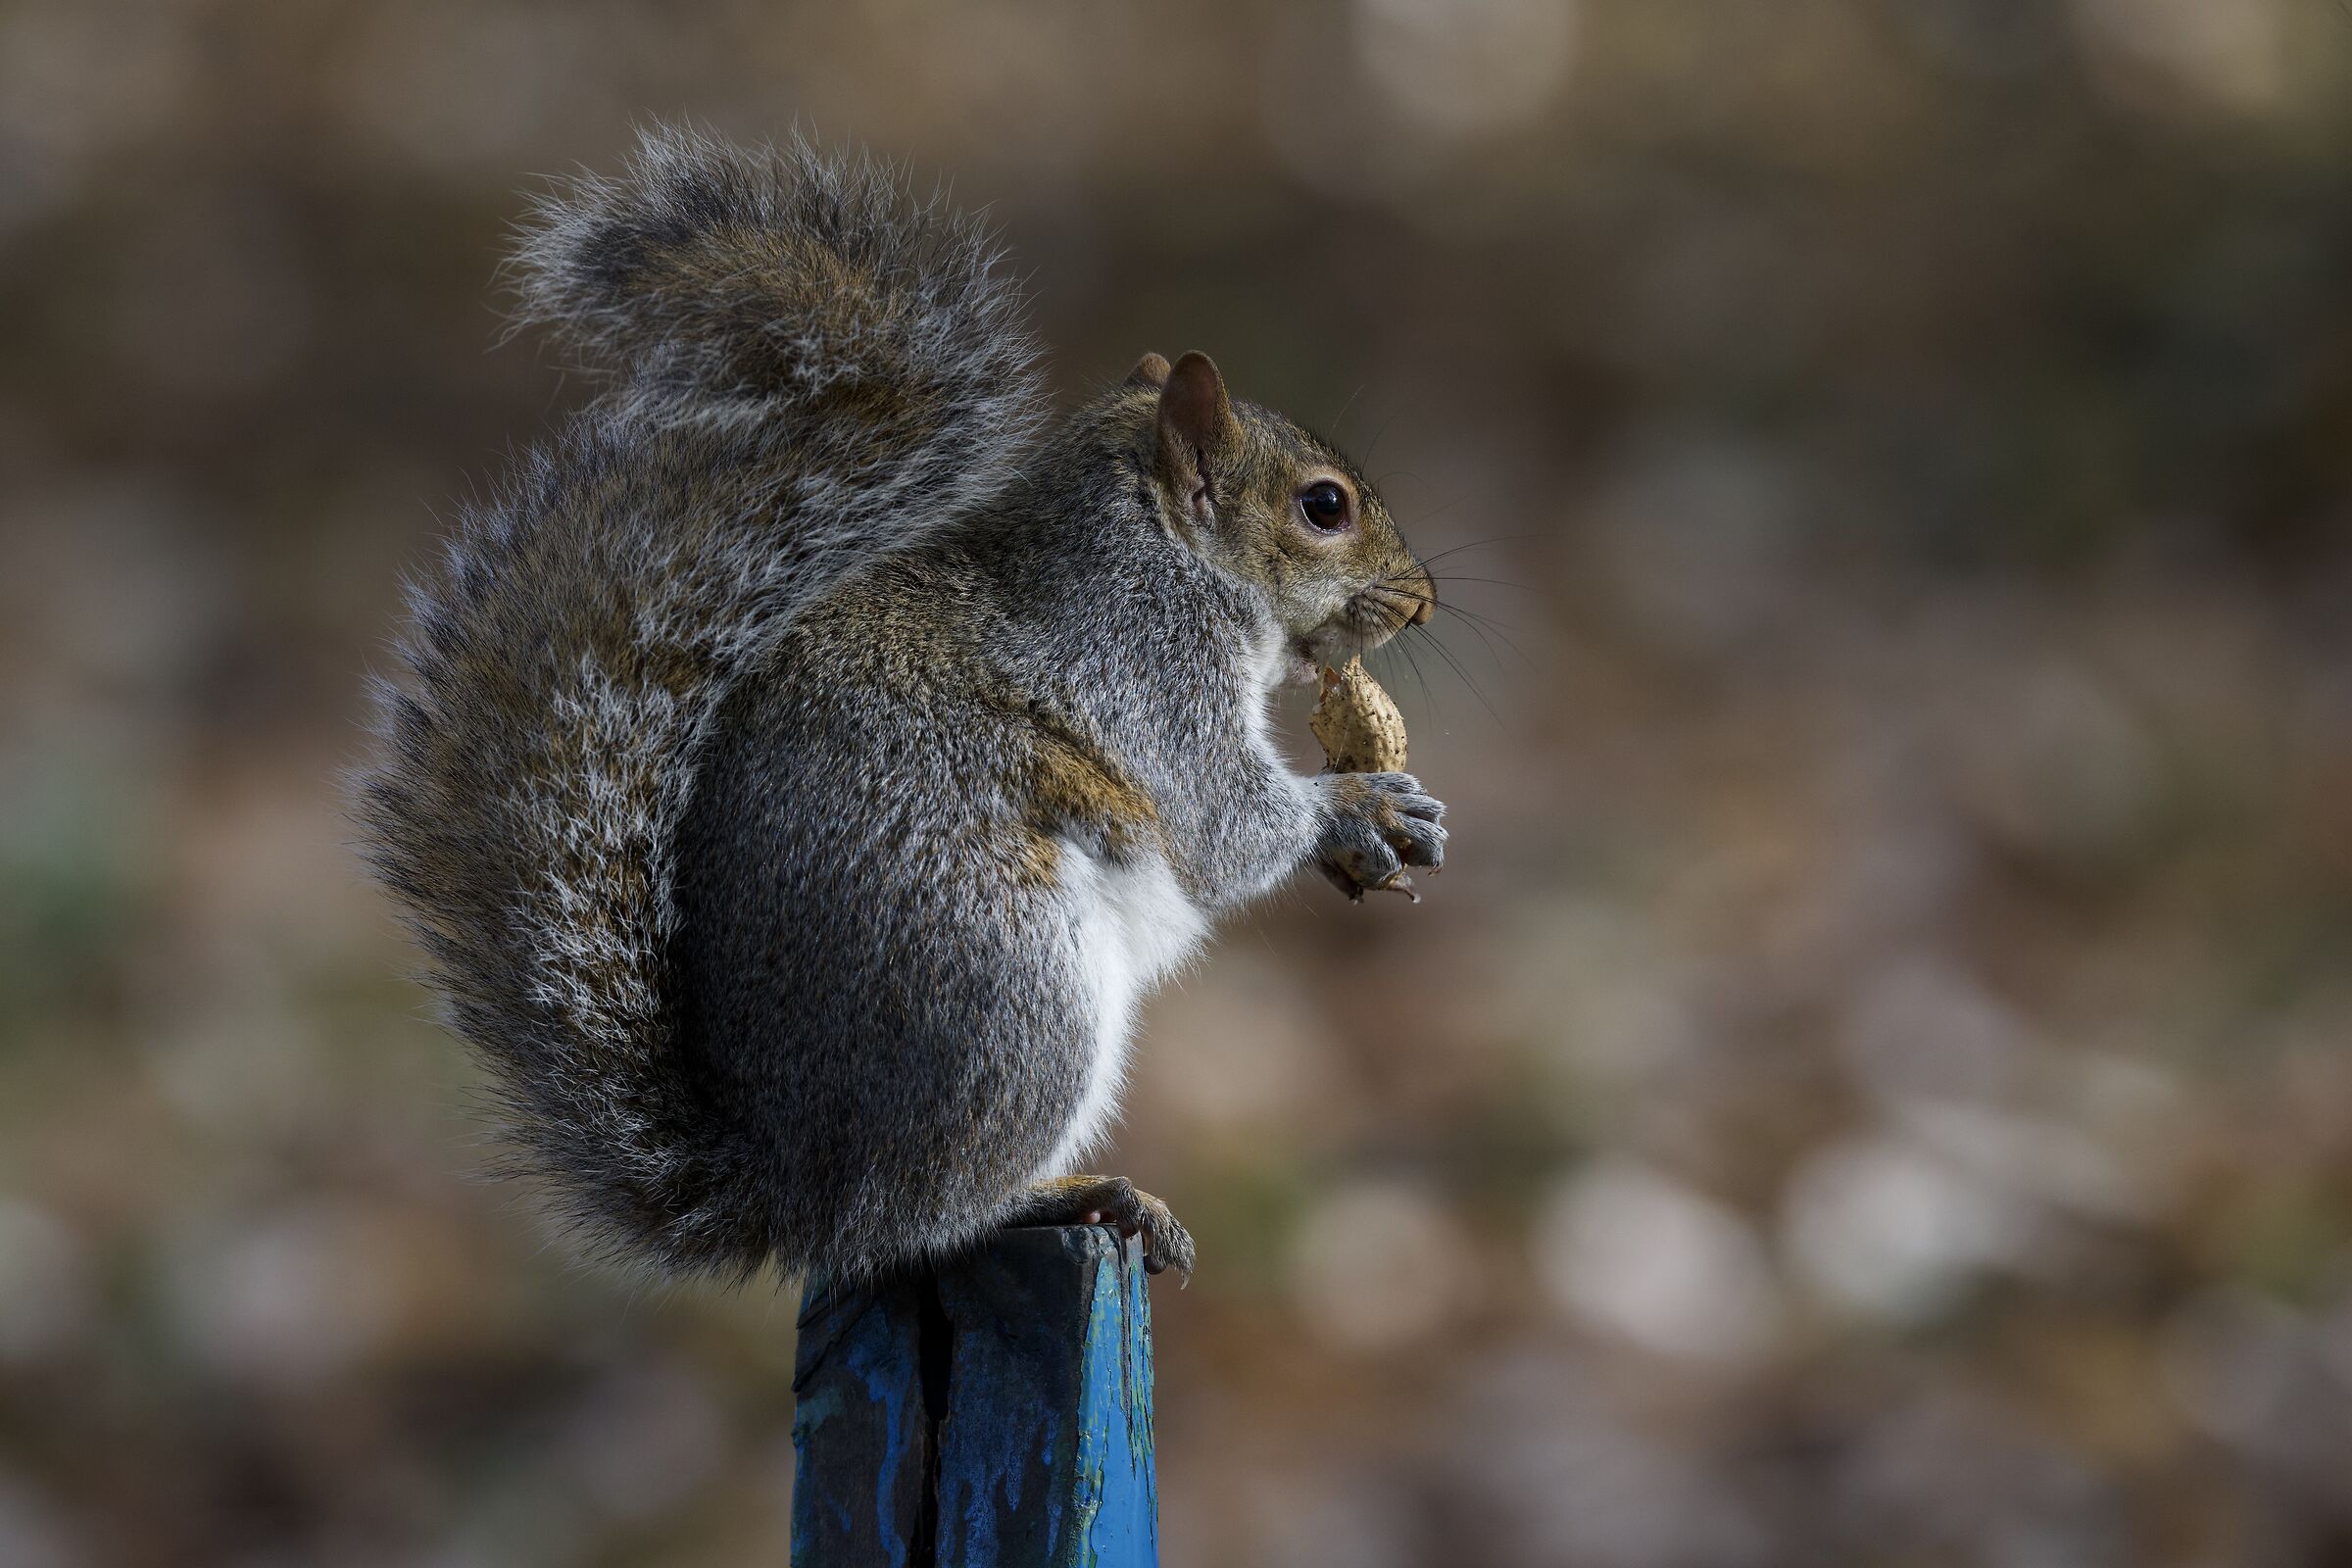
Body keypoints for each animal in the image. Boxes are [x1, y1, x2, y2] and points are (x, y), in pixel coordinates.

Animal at [359, 125, 1447, 1285]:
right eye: (1323, 506)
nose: (1422, 601)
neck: (1159, 552)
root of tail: (792, 1188)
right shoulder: (1154, 673)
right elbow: (1223, 822)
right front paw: (1359, 806)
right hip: (1016, 1000)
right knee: (913, 1220)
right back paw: (1070, 1194)